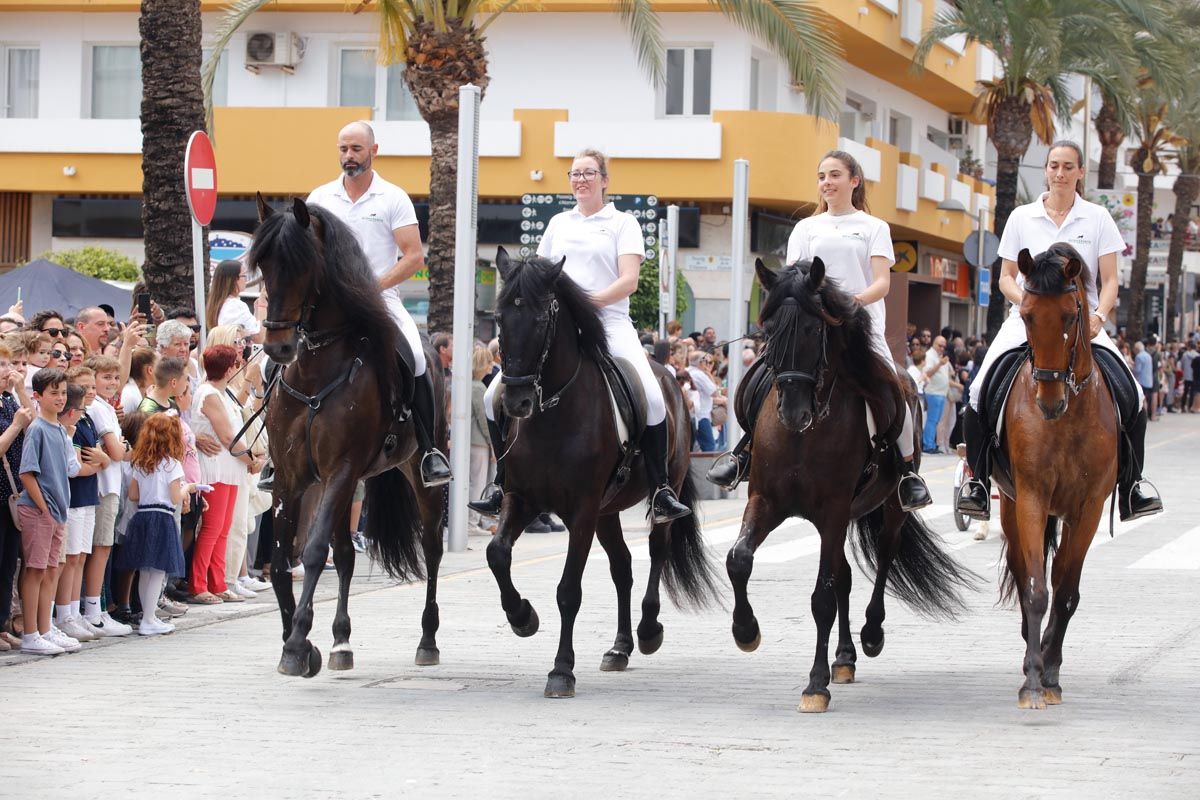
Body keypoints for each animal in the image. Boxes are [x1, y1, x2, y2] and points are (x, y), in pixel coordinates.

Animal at [246, 196, 448, 681]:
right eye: (262, 263)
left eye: (303, 265)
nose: (278, 348)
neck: (316, 371)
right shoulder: (292, 478)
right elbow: (281, 561)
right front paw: (299, 642)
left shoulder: (341, 468)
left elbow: (313, 551)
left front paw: (298, 645)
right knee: (346, 554)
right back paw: (341, 642)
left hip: (417, 477)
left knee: (432, 549)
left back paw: (427, 641)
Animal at [484, 250, 715, 700]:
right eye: (499, 318)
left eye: (541, 318)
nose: (517, 400)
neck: (553, 413)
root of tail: (668, 375)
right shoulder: (522, 499)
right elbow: (496, 553)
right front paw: (522, 617)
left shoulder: (582, 511)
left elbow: (568, 591)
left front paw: (561, 671)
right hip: (608, 512)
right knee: (622, 567)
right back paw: (620, 647)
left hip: (658, 491)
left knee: (656, 552)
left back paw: (648, 631)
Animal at [720, 261, 974, 714]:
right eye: (769, 330)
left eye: (812, 329)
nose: (792, 411)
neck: (803, 435)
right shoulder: (766, 501)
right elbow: (739, 560)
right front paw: (746, 631)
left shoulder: (833, 511)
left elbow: (822, 597)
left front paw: (815, 685)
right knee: (845, 577)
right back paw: (843, 657)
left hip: (886, 510)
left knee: (883, 562)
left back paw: (869, 636)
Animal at [988, 247, 1118, 710]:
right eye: (1027, 315)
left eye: (1068, 315)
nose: (1049, 401)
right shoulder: (1031, 497)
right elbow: (1036, 589)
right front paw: (1032, 679)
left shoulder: (1090, 507)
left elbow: (1065, 592)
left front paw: (1051, 673)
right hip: (1010, 506)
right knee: (1022, 567)